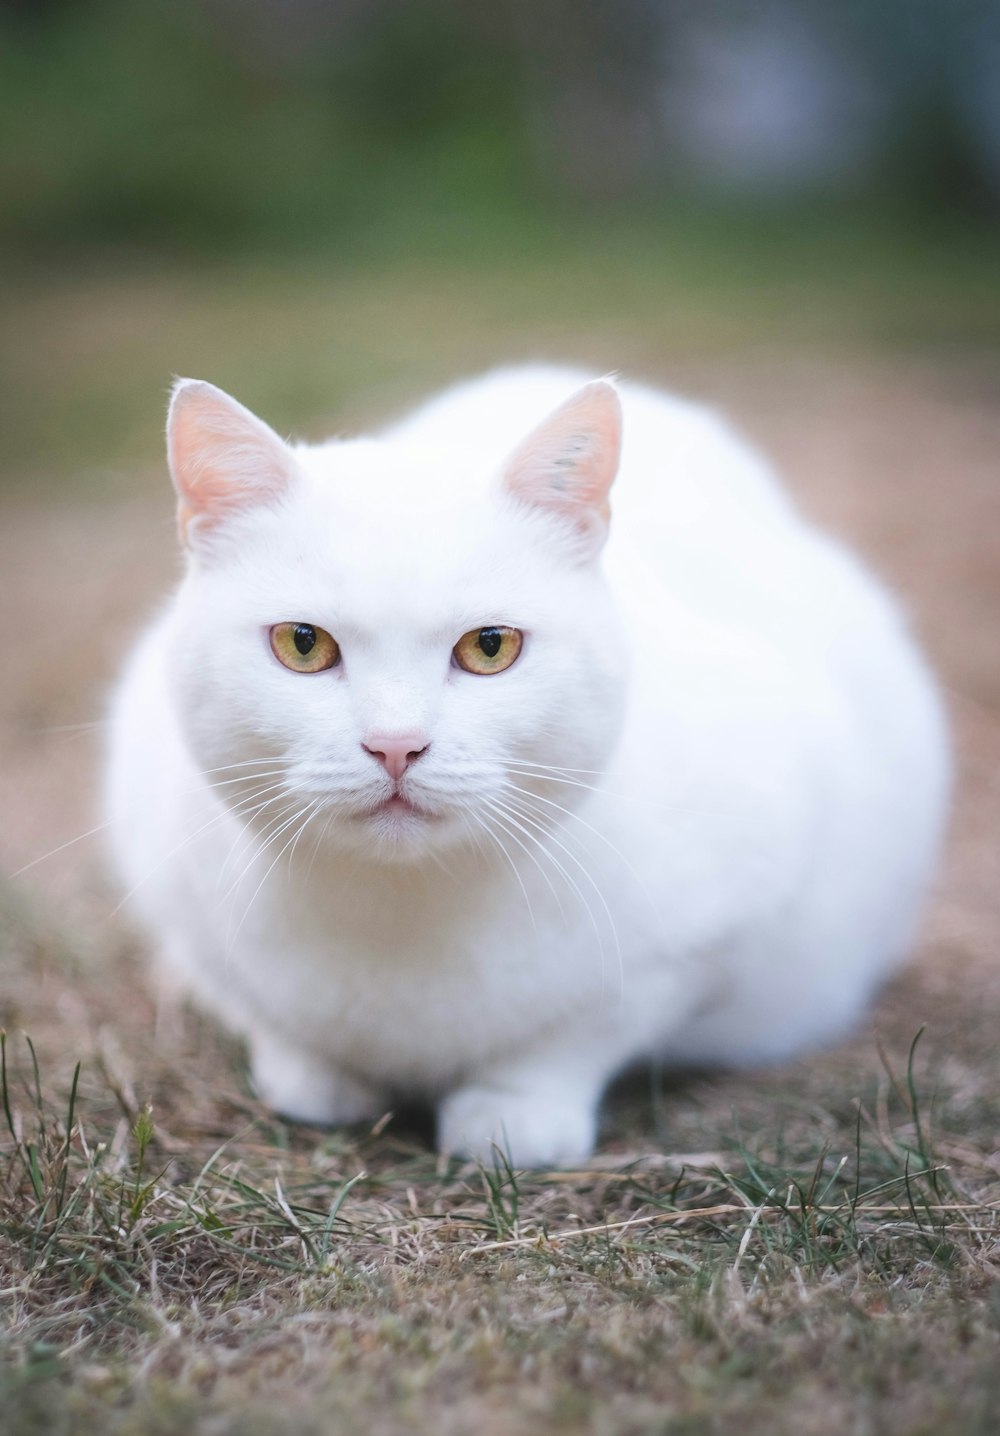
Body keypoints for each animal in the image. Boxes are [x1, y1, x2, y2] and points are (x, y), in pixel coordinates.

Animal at [105, 364, 948, 1160]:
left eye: (490, 647)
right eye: (302, 644)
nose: (396, 744)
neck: (402, 913)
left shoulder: (701, 939)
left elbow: (576, 1036)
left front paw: (513, 1114)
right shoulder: (178, 894)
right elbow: (270, 1020)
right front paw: (314, 1078)